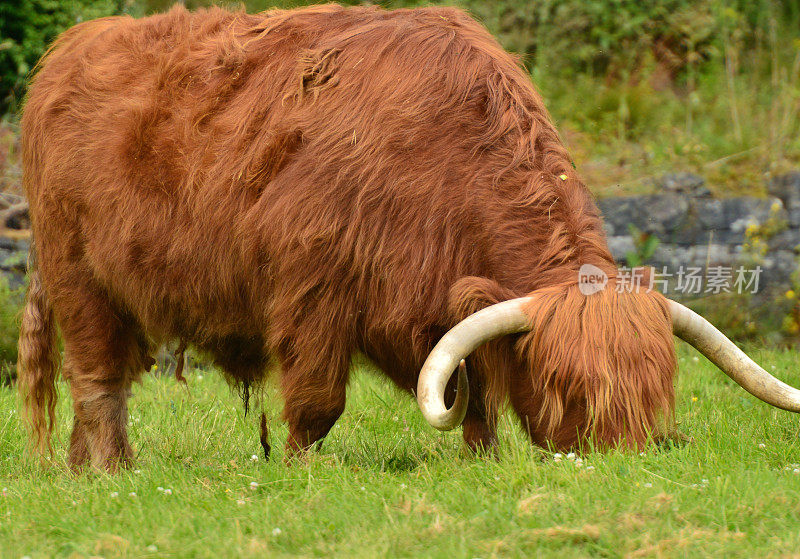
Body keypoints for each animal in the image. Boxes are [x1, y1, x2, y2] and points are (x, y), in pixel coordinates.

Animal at [17, 3, 800, 472]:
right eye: (569, 386)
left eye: (660, 382)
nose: (631, 458)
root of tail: (73, 46)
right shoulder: (313, 289)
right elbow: (317, 400)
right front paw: (297, 467)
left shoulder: (451, 298)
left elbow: (474, 387)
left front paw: (483, 459)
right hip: (77, 274)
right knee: (98, 376)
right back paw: (108, 467)